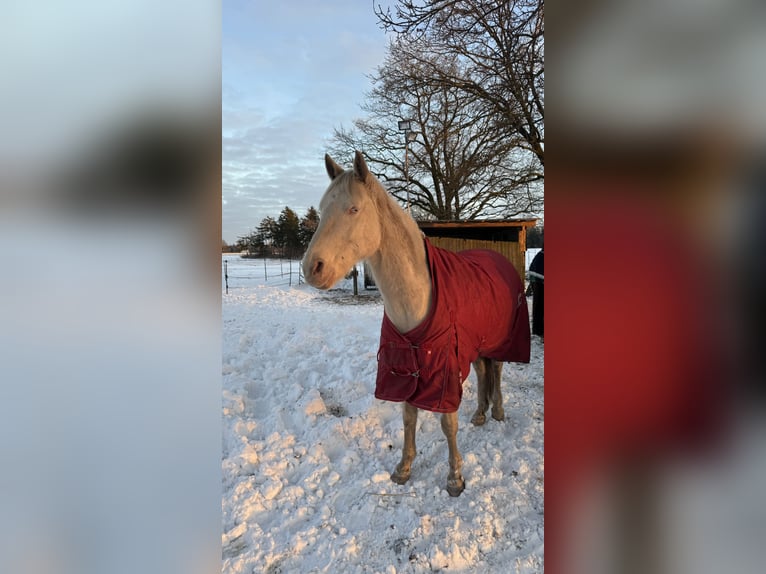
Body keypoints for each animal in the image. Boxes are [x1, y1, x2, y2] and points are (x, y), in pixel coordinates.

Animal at [302, 151, 530, 496]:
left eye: (353, 209)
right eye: (323, 208)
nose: (312, 268)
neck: (417, 297)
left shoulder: (444, 370)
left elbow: (447, 423)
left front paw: (454, 478)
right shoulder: (406, 366)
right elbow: (409, 416)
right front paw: (404, 468)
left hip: (501, 339)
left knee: (498, 370)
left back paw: (499, 412)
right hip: (475, 344)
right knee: (482, 372)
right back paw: (480, 414)